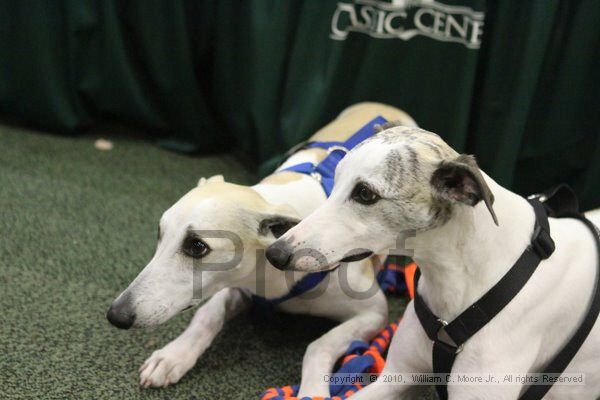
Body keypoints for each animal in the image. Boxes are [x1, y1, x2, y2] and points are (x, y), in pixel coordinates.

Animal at [106, 103, 418, 396]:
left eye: (197, 246)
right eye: (159, 233)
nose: (115, 315)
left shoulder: (373, 312)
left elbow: (318, 345)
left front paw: (312, 391)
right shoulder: (239, 286)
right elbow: (206, 315)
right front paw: (172, 357)